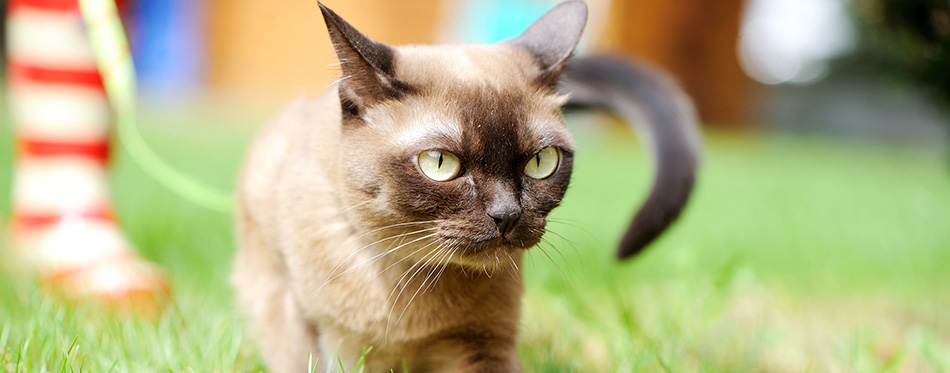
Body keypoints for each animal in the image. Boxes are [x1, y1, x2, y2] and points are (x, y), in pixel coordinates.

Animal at [234, 1, 704, 370]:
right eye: (441, 164)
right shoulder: (337, 343)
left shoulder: (483, 344)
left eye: (541, 162)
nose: (507, 214)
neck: (415, 289)